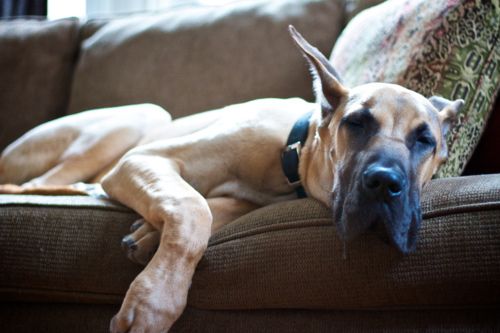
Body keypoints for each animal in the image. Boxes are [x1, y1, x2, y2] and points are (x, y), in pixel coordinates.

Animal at [0, 27, 464, 330]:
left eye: (425, 140)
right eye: (357, 123)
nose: (385, 183)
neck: (292, 150)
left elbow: (209, 208)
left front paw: (147, 235)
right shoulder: (144, 158)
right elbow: (192, 208)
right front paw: (154, 302)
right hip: (143, 116)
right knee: (28, 186)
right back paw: (84, 189)